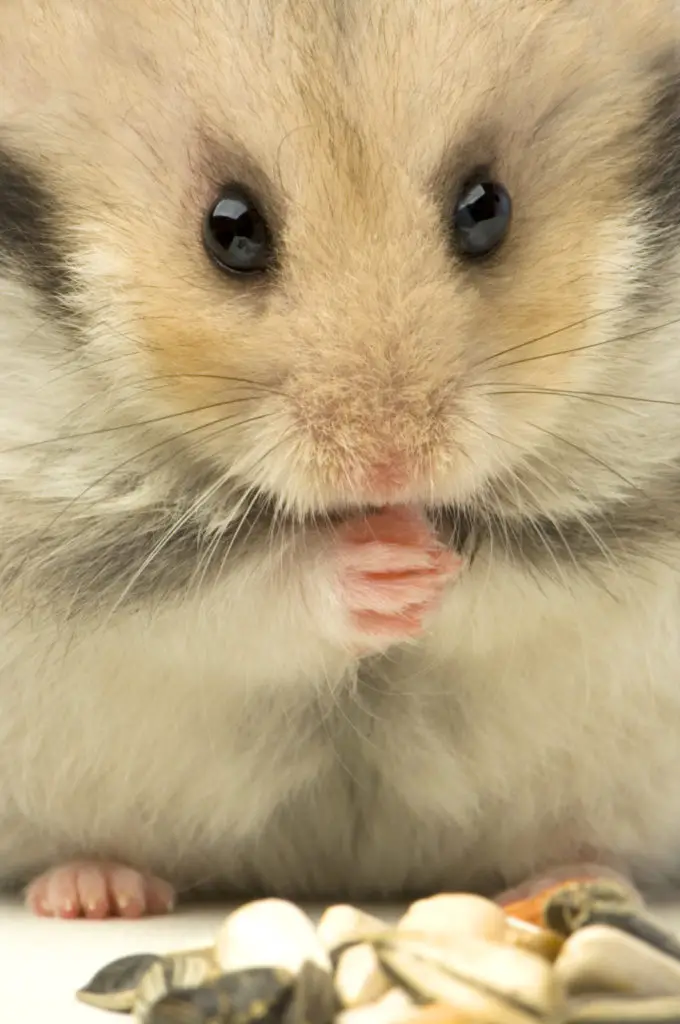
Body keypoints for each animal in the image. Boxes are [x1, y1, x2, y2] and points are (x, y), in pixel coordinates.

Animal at [1, 0, 680, 917]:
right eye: (231, 228)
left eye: (486, 208)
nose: (389, 468)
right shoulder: (80, 547)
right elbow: (239, 594)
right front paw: (381, 569)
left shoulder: (633, 529)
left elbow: (511, 581)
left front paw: (427, 562)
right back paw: (93, 893)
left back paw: (575, 879)